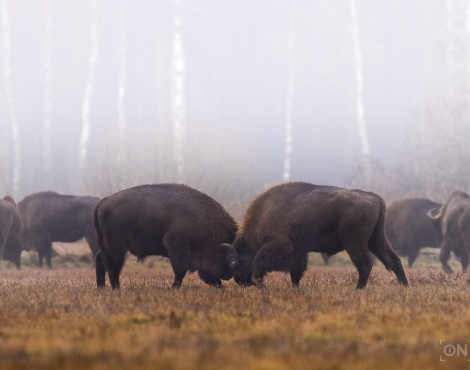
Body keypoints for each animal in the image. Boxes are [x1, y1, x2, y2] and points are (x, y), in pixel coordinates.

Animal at [92, 184, 239, 290]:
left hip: (105, 246)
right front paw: (174, 288)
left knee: (100, 260)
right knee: (113, 266)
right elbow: (180, 270)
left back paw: (101, 288)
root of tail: (103, 202)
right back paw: (117, 289)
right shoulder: (177, 247)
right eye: (230, 260)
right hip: (116, 247)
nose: (228, 275)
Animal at [230, 182, 408, 290]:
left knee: (365, 265)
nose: (239, 280)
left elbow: (259, 259)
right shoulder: (299, 252)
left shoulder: (279, 245)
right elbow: (296, 272)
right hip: (376, 241)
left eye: (236, 260)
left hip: (355, 243)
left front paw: (259, 283)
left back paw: (357, 290)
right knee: (394, 260)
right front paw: (295, 289)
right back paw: (405, 287)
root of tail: (374, 197)